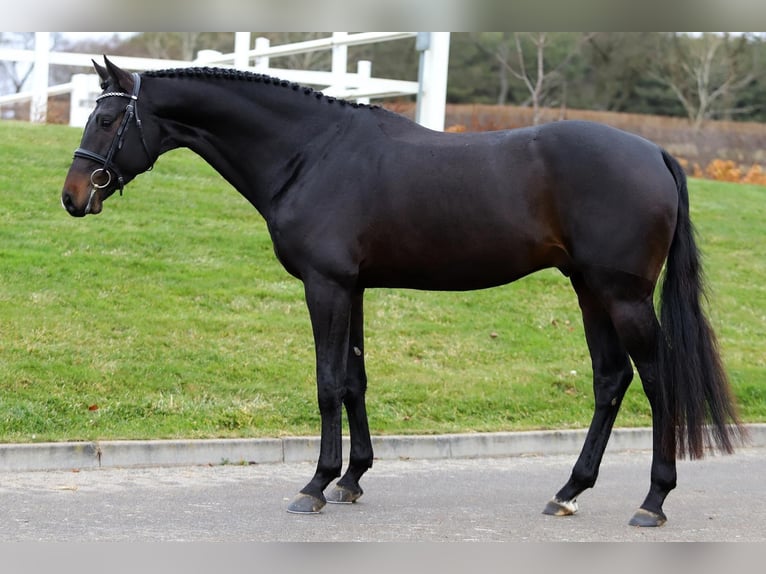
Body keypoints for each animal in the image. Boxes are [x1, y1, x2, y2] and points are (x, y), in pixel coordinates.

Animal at [61, 57, 743, 527]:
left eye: (107, 118)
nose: (72, 197)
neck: (311, 153)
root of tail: (655, 152)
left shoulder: (326, 288)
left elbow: (327, 383)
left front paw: (314, 485)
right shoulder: (353, 287)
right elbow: (354, 379)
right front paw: (352, 479)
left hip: (621, 296)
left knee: (655, 379)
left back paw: (653, 501)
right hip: (588, 289)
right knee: (610, 379)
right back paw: (568, 492)